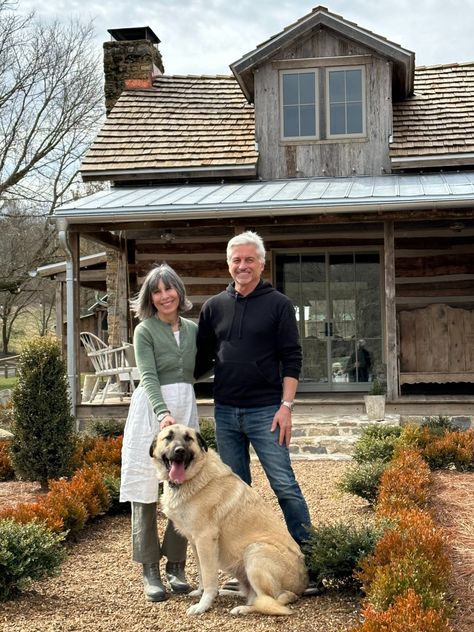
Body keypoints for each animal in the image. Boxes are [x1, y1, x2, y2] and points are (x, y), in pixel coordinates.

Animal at [150, 422, 310, 616]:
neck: (195, 476)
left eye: (188, 438)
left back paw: (242, 608)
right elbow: (202, 573)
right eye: (169, 437)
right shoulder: (195, 542)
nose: (179, 451)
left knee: (270, 601)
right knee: (254, 595)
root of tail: (301, 586)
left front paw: (203, 605)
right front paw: (200, 593)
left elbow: (209, 577)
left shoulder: (205, 540)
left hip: (255, 551)